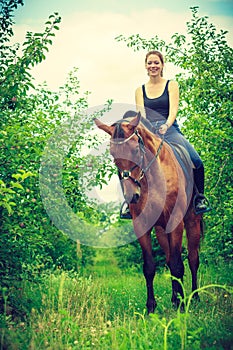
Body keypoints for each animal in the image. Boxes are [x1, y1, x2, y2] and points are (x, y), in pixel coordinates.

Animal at [93, 110, 203, 314]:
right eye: (113, 154)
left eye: (136, 150)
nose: (132, 196)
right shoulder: (142, 225)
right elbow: (151, 267)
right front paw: (151, 306)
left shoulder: (176, 222)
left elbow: (178, 264)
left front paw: (182, 305)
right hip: (161, 230)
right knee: (169, 258)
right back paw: (175, 298)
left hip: (193, 222)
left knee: (193, 259)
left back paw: (195, 297)